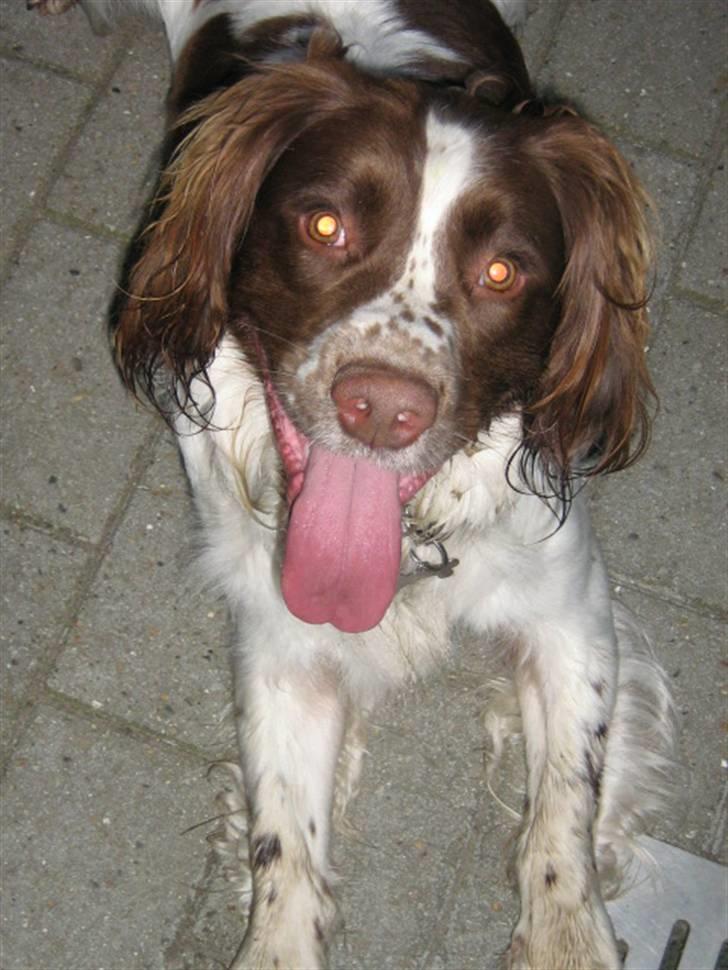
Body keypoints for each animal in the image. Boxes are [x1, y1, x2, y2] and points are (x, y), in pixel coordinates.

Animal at [29, 1, 676, 968]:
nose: (383, 407)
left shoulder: (573, 606)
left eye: (502, 271)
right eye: (324, 227)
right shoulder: (280, 639)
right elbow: (283, 841)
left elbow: (568, 797)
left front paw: (569, 936)